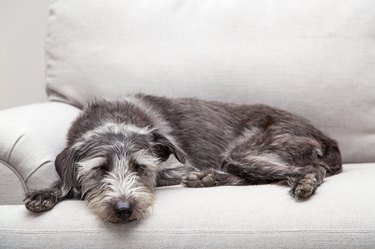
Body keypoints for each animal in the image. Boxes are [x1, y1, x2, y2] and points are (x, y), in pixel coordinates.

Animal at [25, 93, 344, 222]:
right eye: (100, 169)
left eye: (140, 167)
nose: (124, 209)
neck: (113, 119)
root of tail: (325, 136)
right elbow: (64, 180)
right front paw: (45, 193)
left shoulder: (174, 168)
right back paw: (207, 178)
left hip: (246, 151)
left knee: (310, 169)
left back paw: (304, 183)